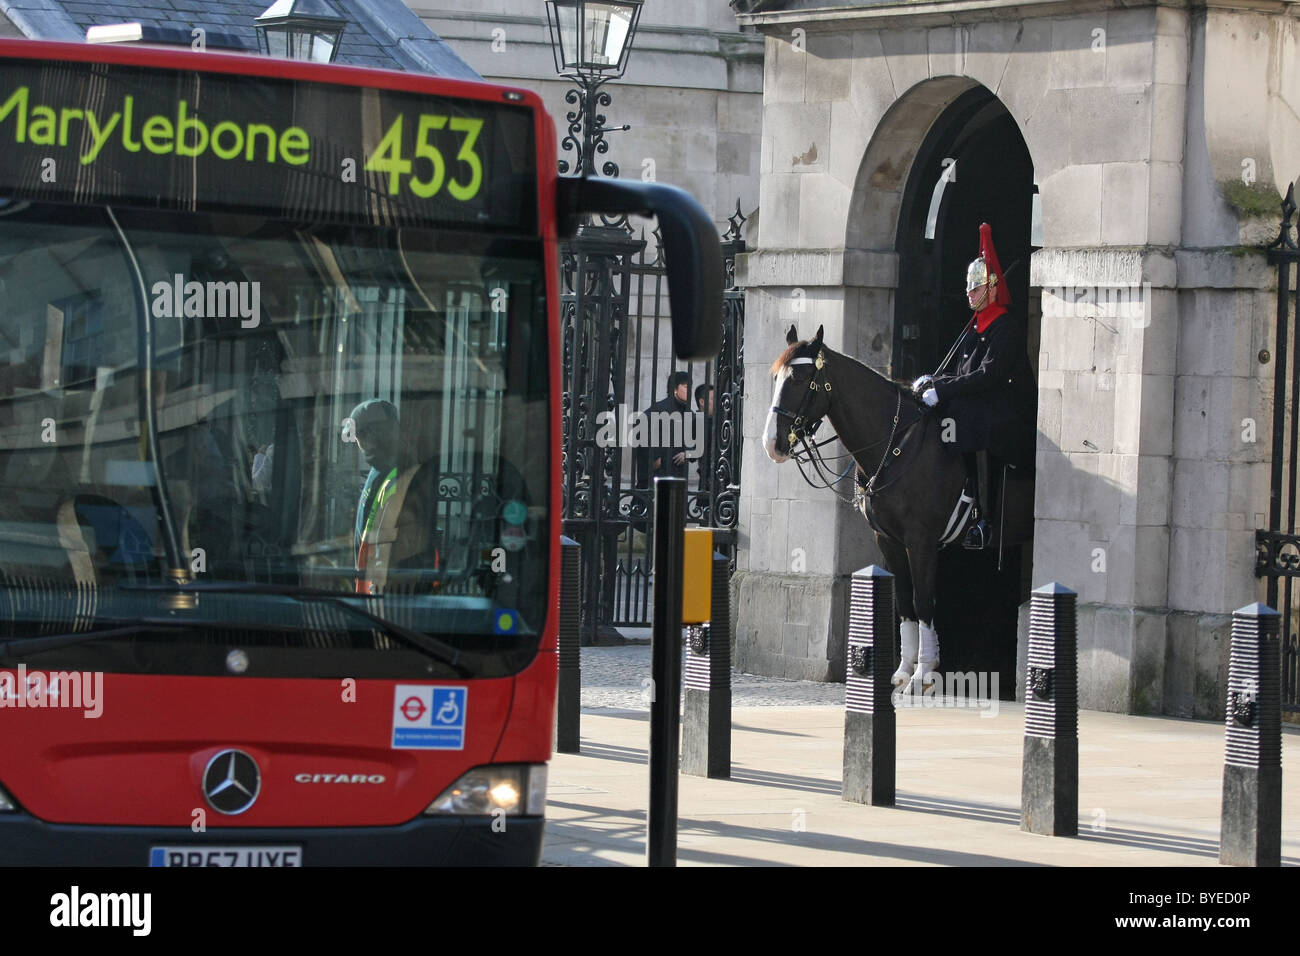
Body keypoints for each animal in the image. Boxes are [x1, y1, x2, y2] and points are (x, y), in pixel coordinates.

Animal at [764, 325, 972, 691]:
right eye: (775, 377)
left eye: (800, 378)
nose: (771, 444)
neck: (896, 445)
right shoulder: (888, 540)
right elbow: (904, 600)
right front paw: (904, 671)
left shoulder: (921, 540)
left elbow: (923, 599)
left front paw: (923, 673)